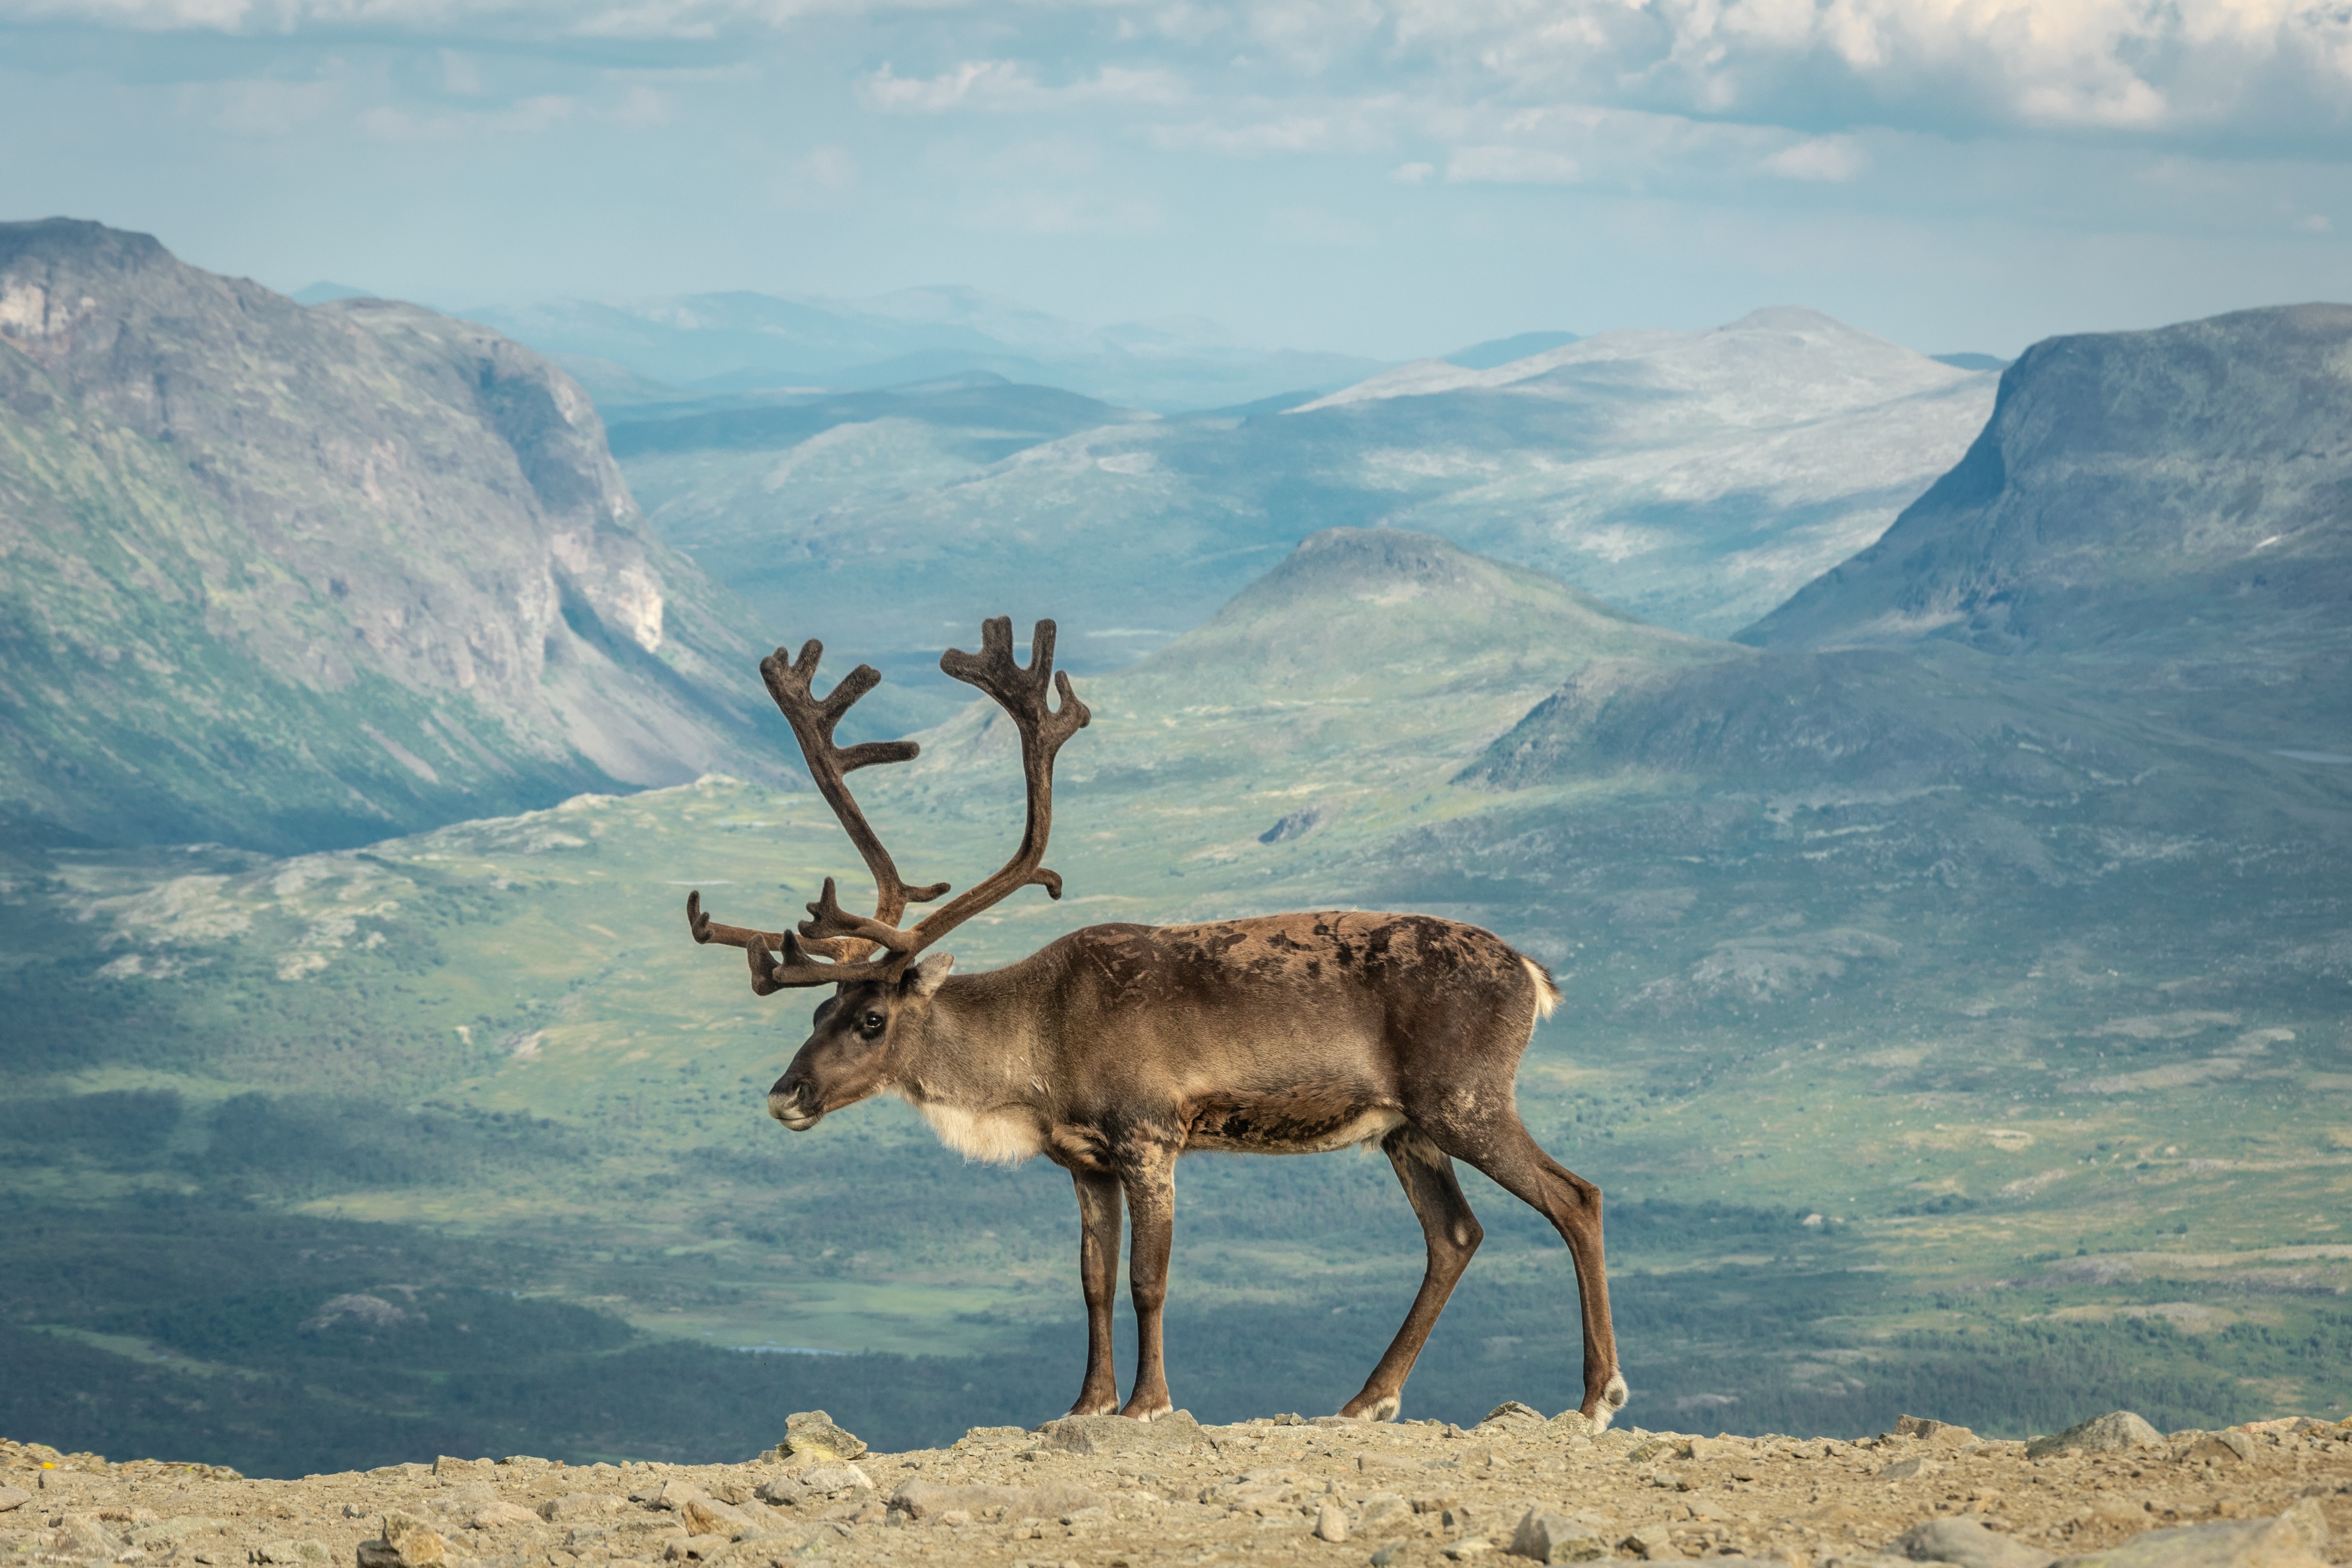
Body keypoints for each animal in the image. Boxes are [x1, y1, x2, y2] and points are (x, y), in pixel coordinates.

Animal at [684, 617, 1628, 1430]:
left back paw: (1595, 1396)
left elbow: (1148, 1279)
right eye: (820, 1007)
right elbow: (1092, 1282)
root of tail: (1531, 973)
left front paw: (1147, 1402)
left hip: (1464, 1099)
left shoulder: (1149, 1136)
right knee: (1455, 1234)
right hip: (1406, 1128)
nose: (784, 1094)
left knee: (1575, 1196)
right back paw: (1368, 1398)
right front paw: (1085, 1401)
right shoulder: (1083, 1161)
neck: (1038, 1043)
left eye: (873, 1018)